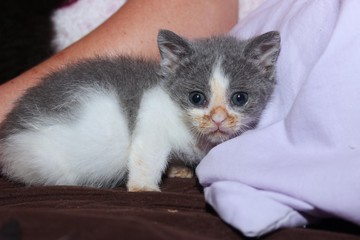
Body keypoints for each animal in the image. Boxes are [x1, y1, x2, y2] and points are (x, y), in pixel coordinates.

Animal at [0, 29, 282, 191]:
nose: (218, 118)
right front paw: (143, 187)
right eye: (197, 98)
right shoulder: (152, 119)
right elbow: (148, 154)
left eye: (239, 98)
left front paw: (177, 168)